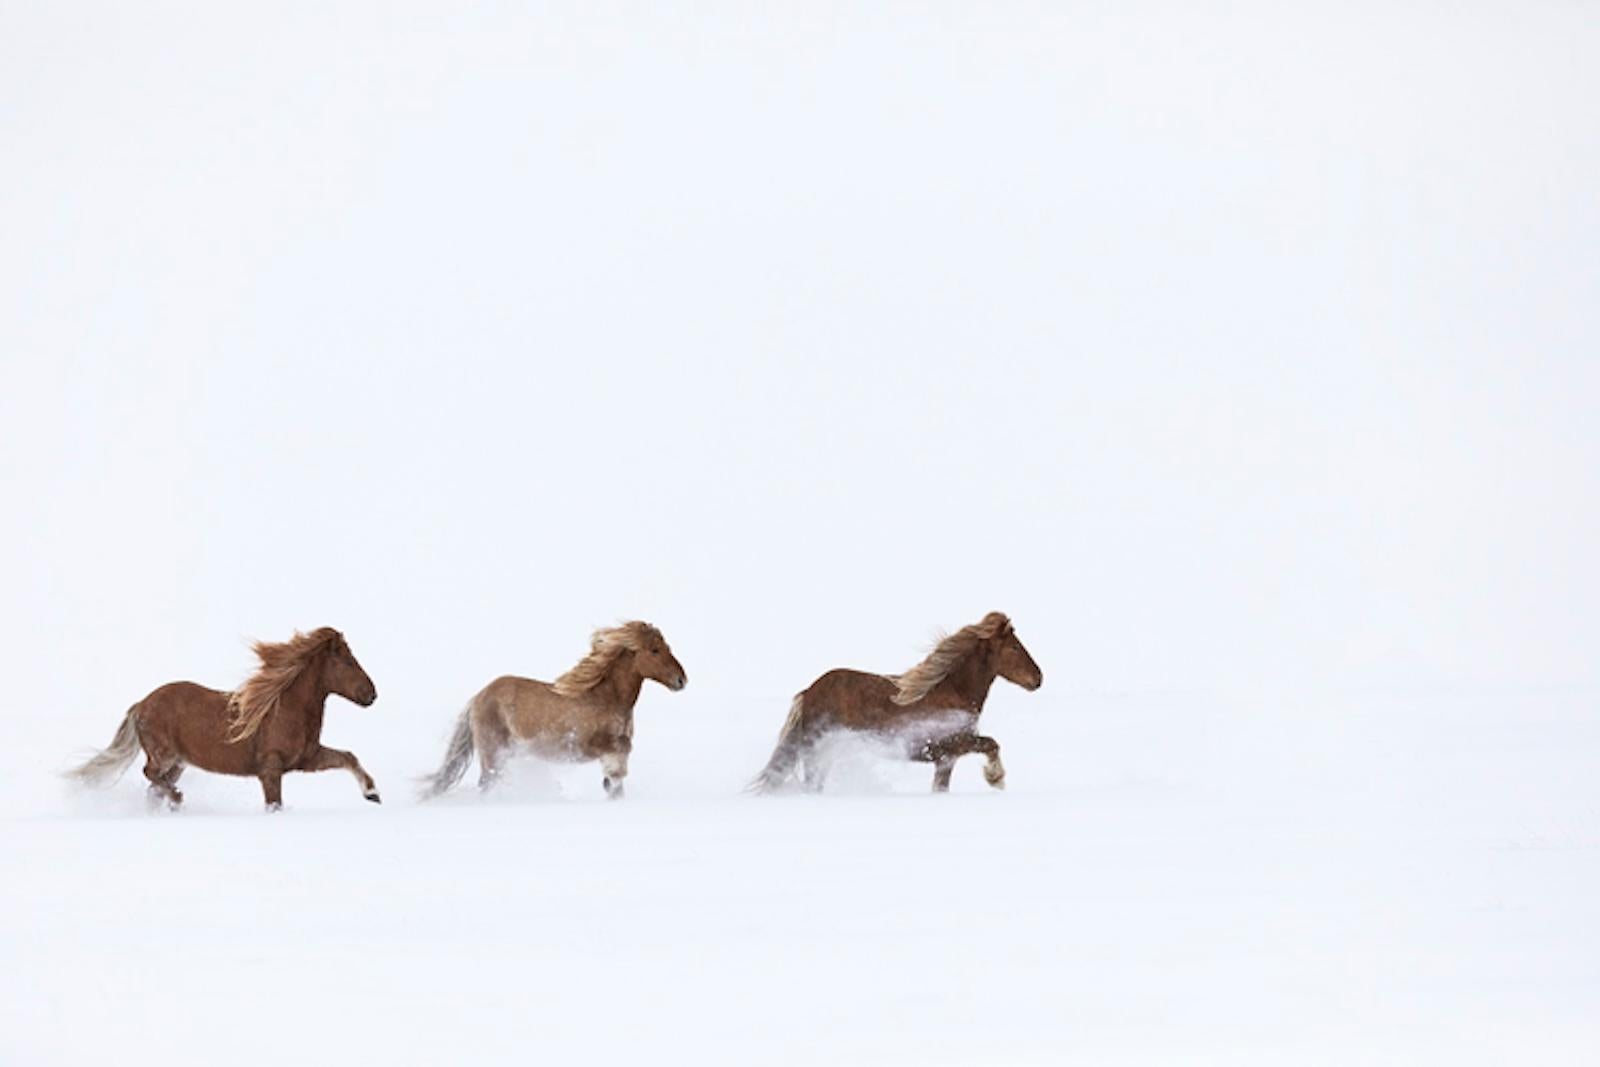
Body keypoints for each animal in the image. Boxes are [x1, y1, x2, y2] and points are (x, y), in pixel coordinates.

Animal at [67, 627, 380, 812]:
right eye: (347, 661)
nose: (372, 694)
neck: (283, 709)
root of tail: (141, 705)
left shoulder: (307, 758)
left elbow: (348, 757)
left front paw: (373, 794)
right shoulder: (271, 769)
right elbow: (275, 804)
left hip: (178, 762)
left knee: (154, 787)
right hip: (164, 755)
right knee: (150, 774)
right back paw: (177, 798)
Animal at [418, 621, 686, 801]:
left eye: (667, 647)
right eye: (654, 650)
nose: (681, 680)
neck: (605, 698)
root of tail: (478, 697)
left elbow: (614, 781)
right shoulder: (591, 745)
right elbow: (619, 761)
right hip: (493, 753)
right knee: (486, 784)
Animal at [749, 611, 1042, 794]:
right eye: (1014, 647)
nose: (1038, 678)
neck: (953, 691)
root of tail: (809, 691)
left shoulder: (945, 759)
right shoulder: (954, 745)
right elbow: (992, 743)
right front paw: (996, 779)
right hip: (817, 751)